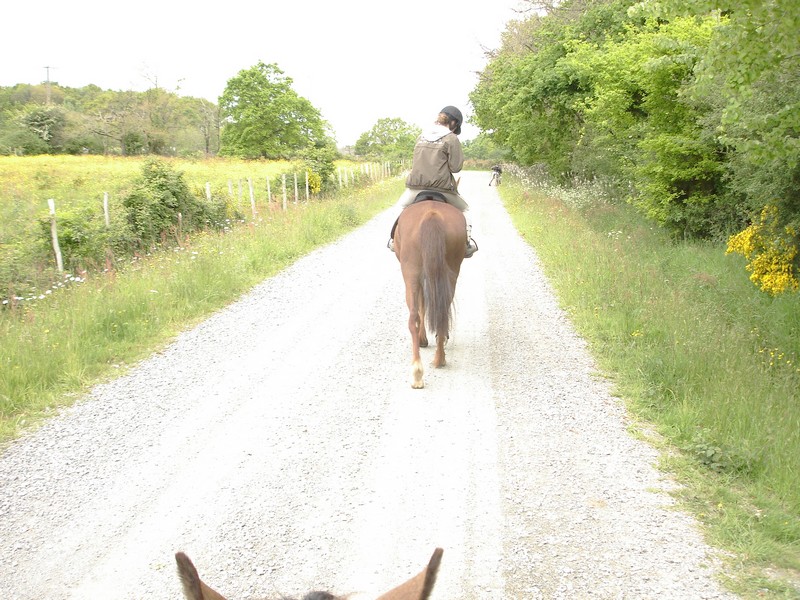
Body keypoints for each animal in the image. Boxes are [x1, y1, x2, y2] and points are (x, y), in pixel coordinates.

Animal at [392, 193, 466, 390]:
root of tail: (431, 215)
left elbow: (422, 306)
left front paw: (423, 339)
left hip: (411, 272)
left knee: (414, 317)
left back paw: (418, 372)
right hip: (449, 271)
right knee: (441, 312)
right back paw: (438, 359)